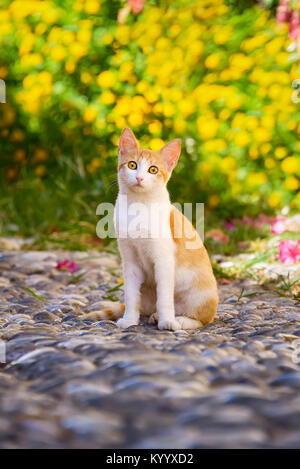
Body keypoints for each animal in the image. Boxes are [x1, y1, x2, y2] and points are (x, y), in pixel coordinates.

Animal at [93, 127, 218, 330]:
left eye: (153, 169)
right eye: (132, 165)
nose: (139, 177)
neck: (138, 207)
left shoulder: (164, 261)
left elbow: (165, 297)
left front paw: (168, 321)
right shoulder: (130, 261)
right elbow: (131, 295)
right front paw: (129, 320)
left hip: (202, 295)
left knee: (203, 319)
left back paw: (179, 320)